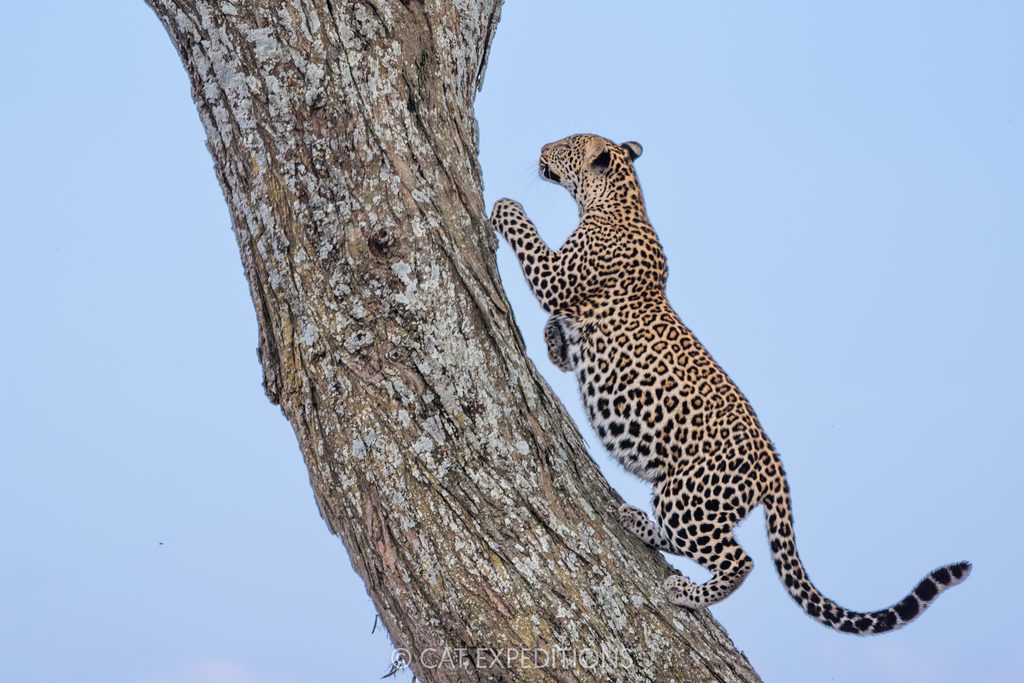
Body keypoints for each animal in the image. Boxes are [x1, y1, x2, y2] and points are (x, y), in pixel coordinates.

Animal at [490, 133, 970, 634]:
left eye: (568, 144)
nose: (542, 148)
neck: (620, 202)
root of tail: (773, 466)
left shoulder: (559, 279)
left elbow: (527, 239)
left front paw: (504, 206)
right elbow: (560, 338)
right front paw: (553, 344)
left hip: (688, 495)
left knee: (739, 560)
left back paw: (687, 593)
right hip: (680, 495)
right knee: (687, 540)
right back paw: (639, 524)